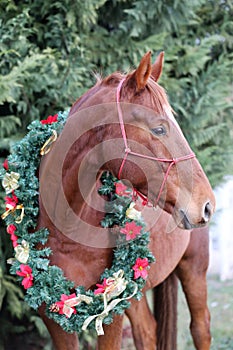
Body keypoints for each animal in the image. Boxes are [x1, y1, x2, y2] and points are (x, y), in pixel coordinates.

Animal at [36, 50, 215, 348]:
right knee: (147, 330)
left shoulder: (110, 313)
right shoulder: (54, 318)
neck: (66, 229)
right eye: (159, 129)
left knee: (200, 328)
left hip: (194, 268)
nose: (207, 204)